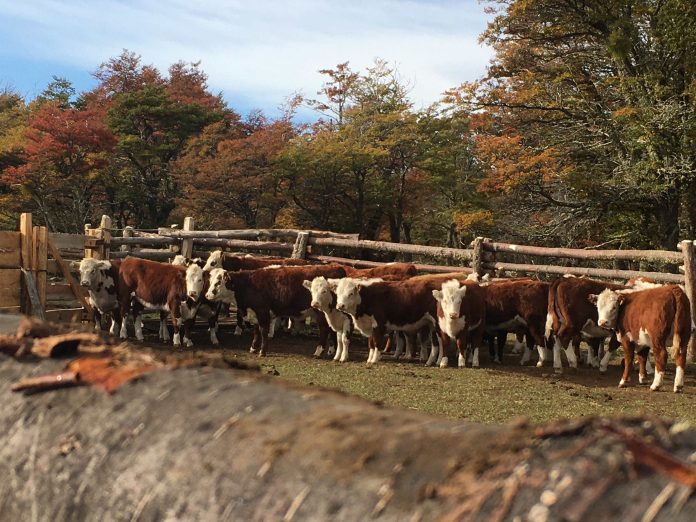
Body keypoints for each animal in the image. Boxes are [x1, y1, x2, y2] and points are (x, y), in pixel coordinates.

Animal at [207, 262, 348, 356]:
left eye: (218, 282)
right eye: (210, 281)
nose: (207, 295)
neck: (248, 284)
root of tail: (336, 267)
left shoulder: (262, 311)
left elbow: (263, 331)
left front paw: (262, 352)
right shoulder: (254, 313)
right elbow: (256, 331)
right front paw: (253, 348)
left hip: (320, 311)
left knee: (324, 329)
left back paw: (318, 351)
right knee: (332, 329)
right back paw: (331, 350)